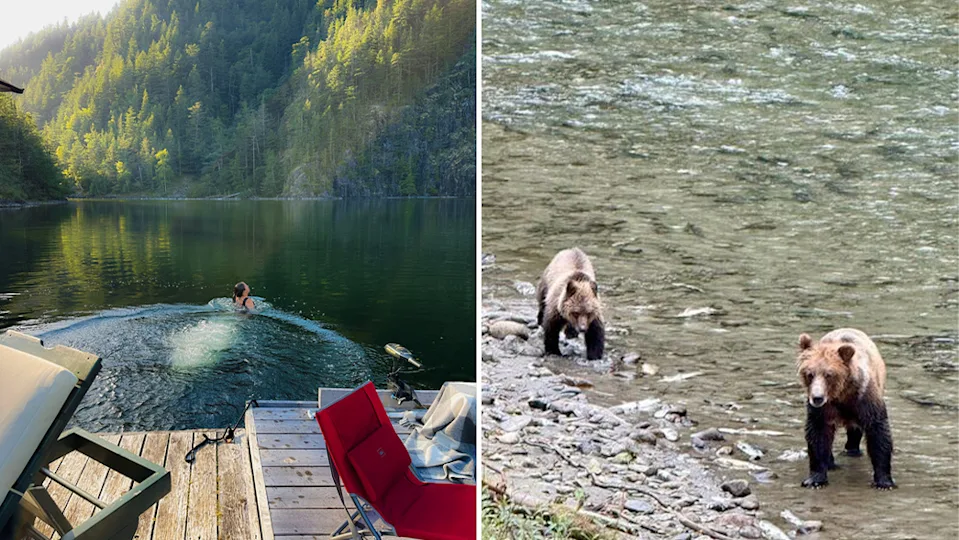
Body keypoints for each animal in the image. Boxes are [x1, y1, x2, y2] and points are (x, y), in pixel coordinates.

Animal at [796, 328, 895, 490]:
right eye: (809, 374)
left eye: (829, 374)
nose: (817, 398)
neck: (841, 394)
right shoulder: (823, 410)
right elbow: (818, 435)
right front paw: (815, 479)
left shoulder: (865, 399)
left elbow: (878, 432)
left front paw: (884, 481)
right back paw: (831, 462)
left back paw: (852, 449)